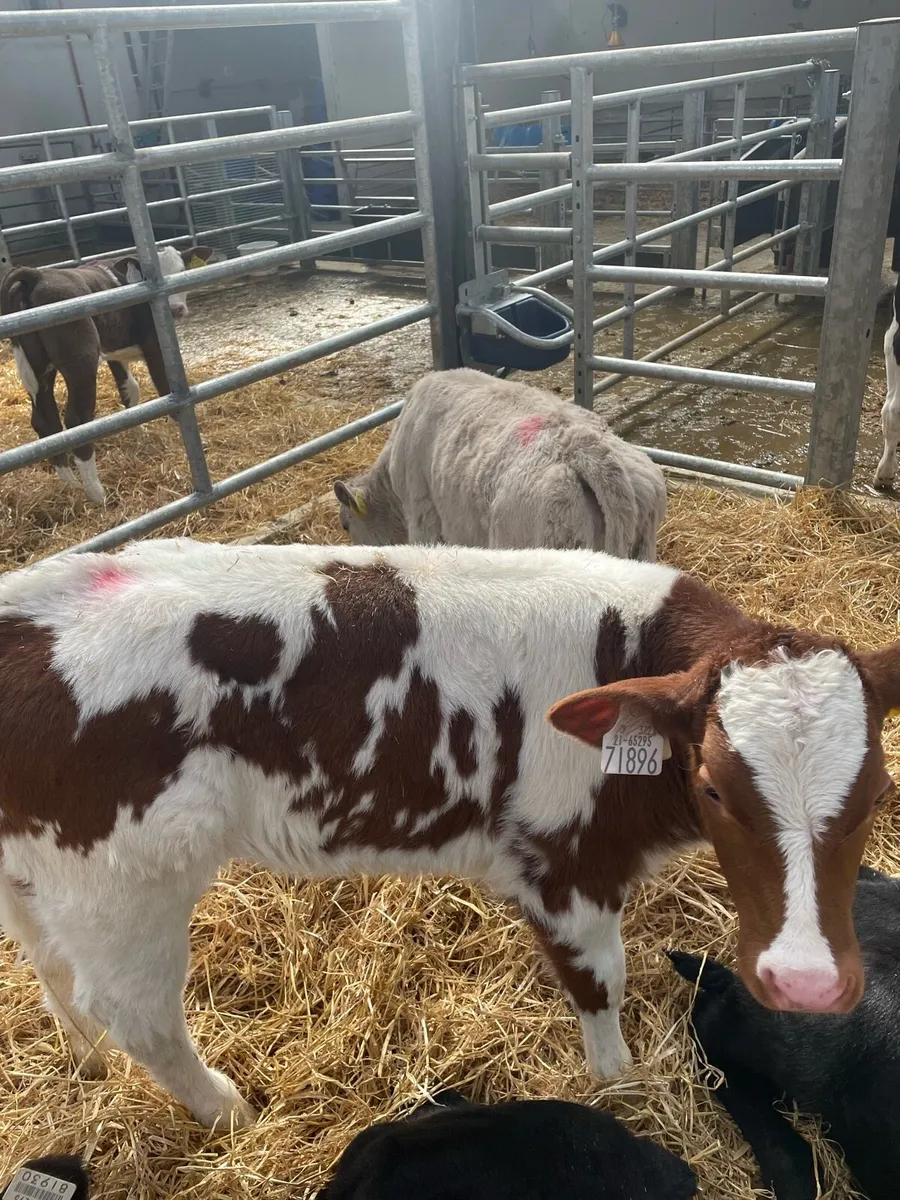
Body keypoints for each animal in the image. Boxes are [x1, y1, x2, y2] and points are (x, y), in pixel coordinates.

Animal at [0, 244, 213, 506]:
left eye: (182, 270)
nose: (175, 309)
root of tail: (38, 275)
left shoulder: (114, 352)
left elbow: (130, 389)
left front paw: (137, 431)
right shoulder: (154, 345)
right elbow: (166, 389)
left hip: (37, 365)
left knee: (45, 420)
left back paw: (70, 484)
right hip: (81, 361)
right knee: (76, 421)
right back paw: (97, 494)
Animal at [0, 538, 897, 1129]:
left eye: (881, 792)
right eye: (713, 785)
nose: (807, 984)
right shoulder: (565, 864)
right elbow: (600, 983)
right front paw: (618, 1082)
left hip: (36, 866)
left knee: (45, 957)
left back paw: (84, 1058)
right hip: (124, 878)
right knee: (137, 1010)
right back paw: (227, 1108)